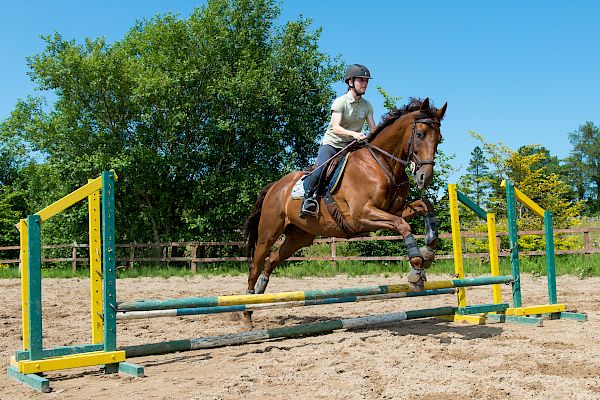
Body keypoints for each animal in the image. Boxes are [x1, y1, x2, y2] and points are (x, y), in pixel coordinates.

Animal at [243, 97, 446, 328]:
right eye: (420, 134)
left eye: (439, 139)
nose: (424, 178)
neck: (382, 164)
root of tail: (275, 186)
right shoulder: (361, 216)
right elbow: (403, 225)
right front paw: (417, 269)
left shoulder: (394, 210)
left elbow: (425, 206)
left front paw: (429, 250)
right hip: (268, 233)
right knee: (256, 265)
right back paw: (247, 313)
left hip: (299, 237)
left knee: (272, 261)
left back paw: (259, 296)